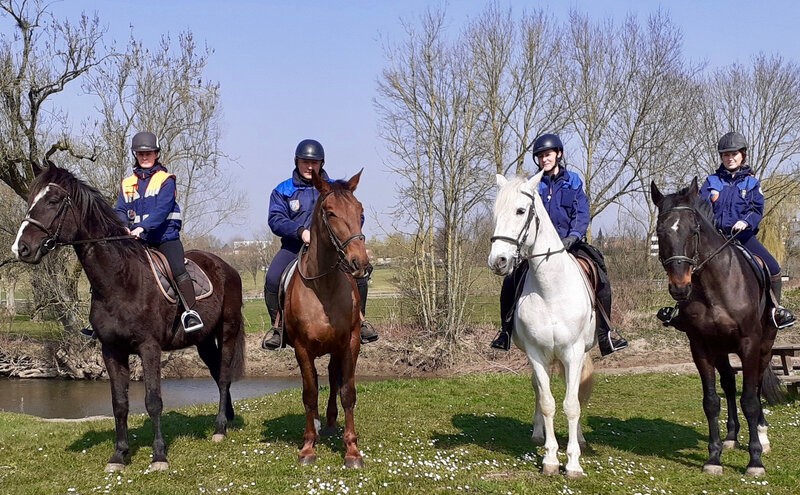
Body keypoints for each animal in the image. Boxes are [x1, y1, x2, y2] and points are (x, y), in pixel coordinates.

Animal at [10, 164, 244, 472]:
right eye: (30, 200)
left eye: (53, 200)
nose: (21, 248)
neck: (120, 279)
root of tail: (226, 266)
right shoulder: (111, 350)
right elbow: (119, 403)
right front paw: (119, 455)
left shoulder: (149, 348)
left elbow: (153, 401)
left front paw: (159, 456)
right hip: (202, 341)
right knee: (217, 375)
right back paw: (226, 419)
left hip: (227, 331)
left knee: (225, 377)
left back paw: (219, 429)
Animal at [282, 169, 372, 466]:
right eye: (330, 213)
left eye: (359, 211)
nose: (361, 264)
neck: (325, 286)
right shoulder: (301, 348)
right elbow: (310, 394)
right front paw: (308, 446)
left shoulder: (350, 342)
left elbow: (347, 392)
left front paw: (352, 449)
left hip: (337, 347)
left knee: (334, 379)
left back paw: (332, 422)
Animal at [484, 172, 596, 478]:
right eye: (495, 213)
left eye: (521, 211)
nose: (498, 261)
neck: (551, 290)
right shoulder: (536, 354)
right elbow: (547, 402)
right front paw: (550, 458)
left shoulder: (573, 353)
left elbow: (571, 404)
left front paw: (573, 462)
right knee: (537, 388)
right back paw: (537, 433)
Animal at [648, 178, 780, 476]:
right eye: (660, 231)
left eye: (694, 229)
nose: (680, 287)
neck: (715, 286)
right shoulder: (701, 347)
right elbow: (711, 402)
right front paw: (714, 457)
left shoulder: (750, 344)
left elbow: (750, 401)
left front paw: (755, 461)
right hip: (721, 349)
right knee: (729, 384)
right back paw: (731, 436)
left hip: (765, 346)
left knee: (755, 388)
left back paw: (763, 436)